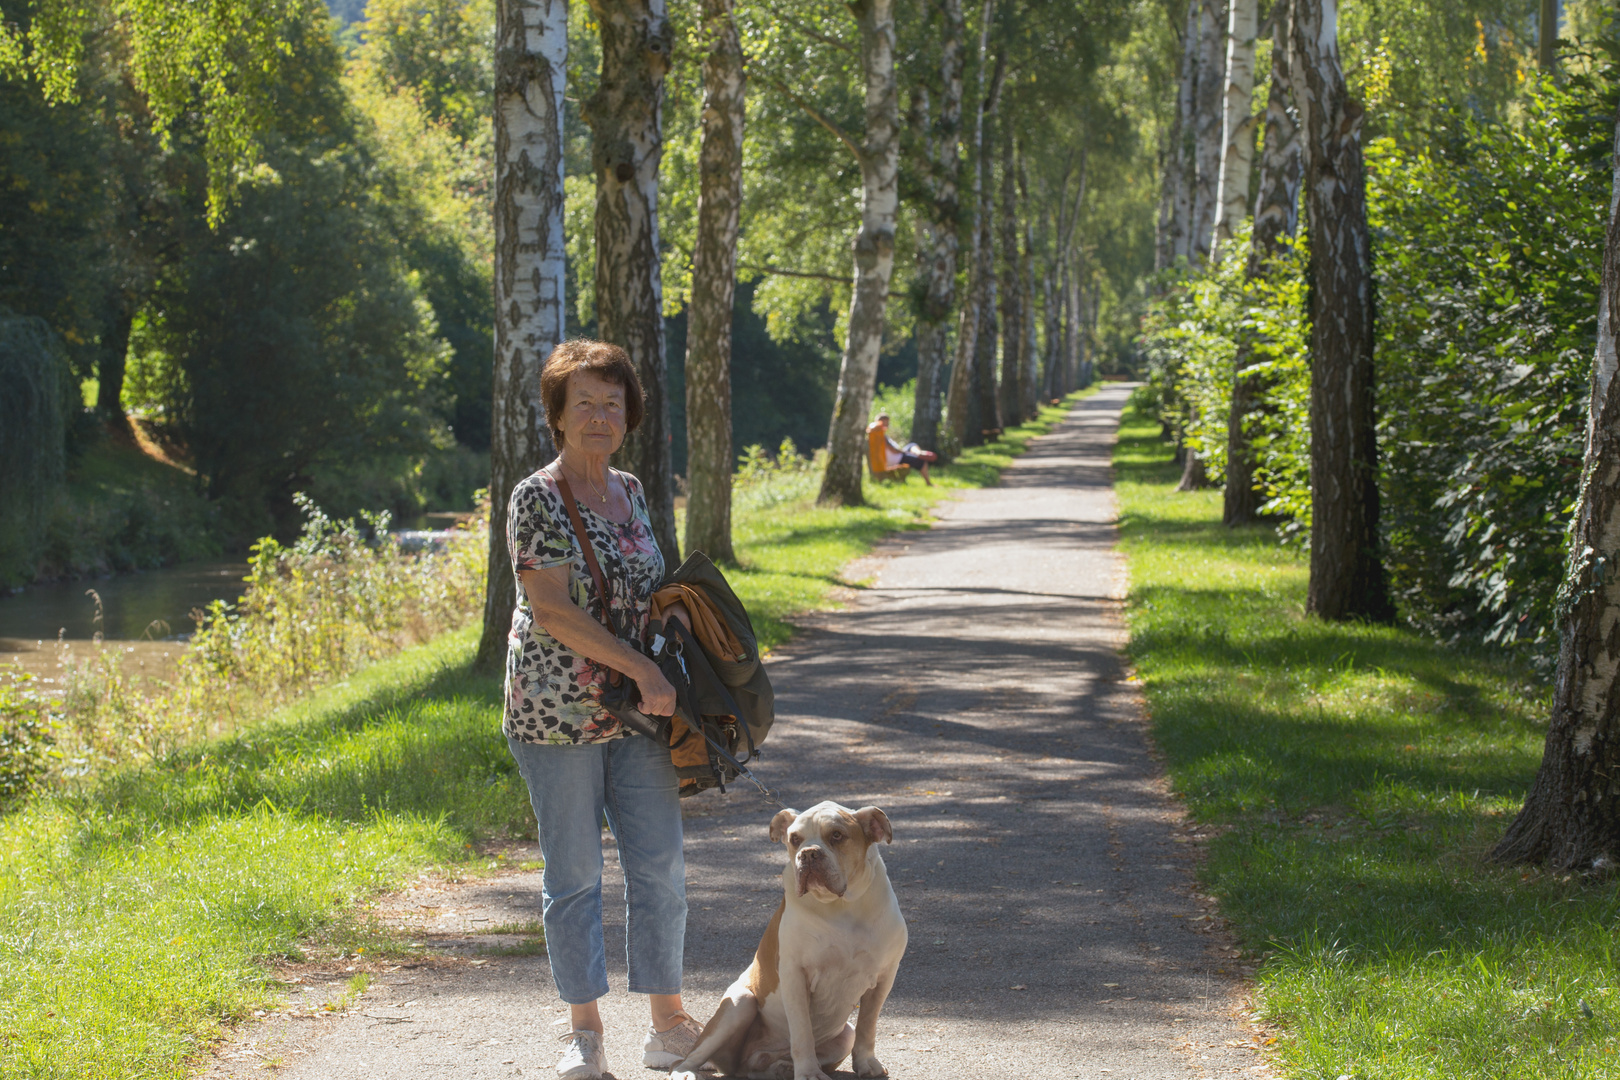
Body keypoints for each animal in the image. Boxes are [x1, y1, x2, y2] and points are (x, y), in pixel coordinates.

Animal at [664, 803, 907, 1080]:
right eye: (794, 839)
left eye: (836, 835)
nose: (809, 854)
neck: (842, 908)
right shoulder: (795, 975)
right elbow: (802, 1032)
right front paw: (809, 1072)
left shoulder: (883, 978)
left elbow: (867, 1025)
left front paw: (866, 1063)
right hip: (739, 1004)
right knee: (687, 1059)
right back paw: (686, 1072)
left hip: (844, 1034)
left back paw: (781, 1067)